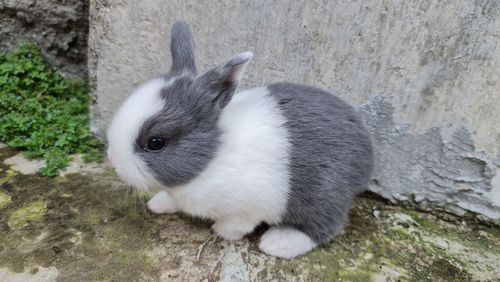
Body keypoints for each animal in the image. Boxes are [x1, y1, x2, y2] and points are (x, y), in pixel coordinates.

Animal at [106, 21, 372, 260]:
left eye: (156, 143)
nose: (113, 161)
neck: (213, 157)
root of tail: (367, 149)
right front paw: (158, 204)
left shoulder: (249, 207)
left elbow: (236, 224)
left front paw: (221, 231)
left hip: (323, 195)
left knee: (326, 225)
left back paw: (277, 243)